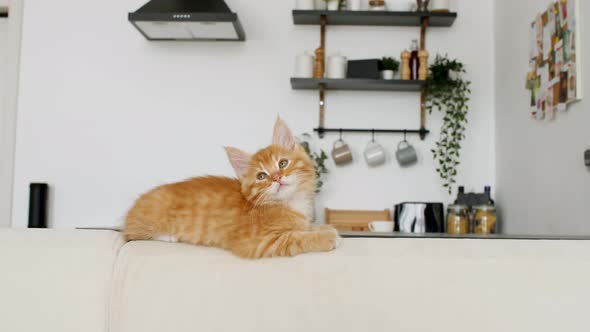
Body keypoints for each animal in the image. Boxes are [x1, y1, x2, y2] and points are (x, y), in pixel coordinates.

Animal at [123, 118, 342, 258]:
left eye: (282, 163)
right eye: (261, 176)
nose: (277, 178)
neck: (289, 202)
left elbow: (304, 227)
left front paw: (324, 228)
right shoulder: (258, 242)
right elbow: (296, 238)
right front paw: (326, 237)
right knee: (133, 235)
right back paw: (169, 236)